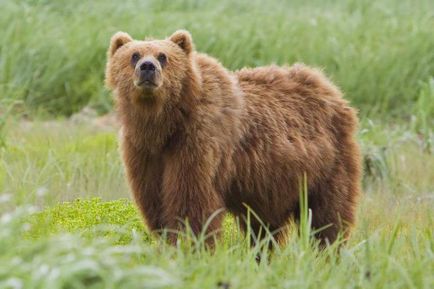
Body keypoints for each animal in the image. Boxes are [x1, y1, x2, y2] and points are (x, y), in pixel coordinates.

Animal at [106, 28, 362, 245]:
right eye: (134, 55)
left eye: (163, 56)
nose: (147, 67)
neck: (164, 124)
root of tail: (330, 88)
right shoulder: (144, 151)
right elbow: (155, 201)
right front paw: (167, 241)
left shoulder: (198, 141)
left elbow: (191, 202)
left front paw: (191, 244)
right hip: (272, 183)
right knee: (264, 228)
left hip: (327, 165)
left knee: (328, 215)